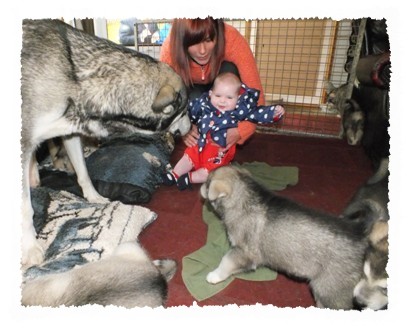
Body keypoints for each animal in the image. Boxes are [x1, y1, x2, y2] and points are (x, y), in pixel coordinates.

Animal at [20, 19, 190, 268]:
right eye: (185, 111)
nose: (192, 127)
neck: (77, 79)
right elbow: (25, 207)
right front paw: (30, 247)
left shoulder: (71, 133)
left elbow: (83, 173)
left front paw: (95, 198)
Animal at [201, 167, 370, 310]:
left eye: (208, 183)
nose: (201, 185)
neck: (243, 197)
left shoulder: (244, 252)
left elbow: (226, 261)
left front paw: (214, 275)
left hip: (329, 291)